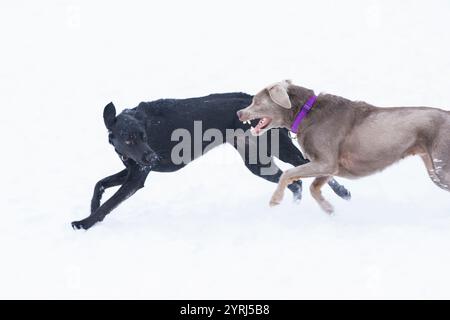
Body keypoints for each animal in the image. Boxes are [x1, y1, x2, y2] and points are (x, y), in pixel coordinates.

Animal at [72, 92, 350, 230]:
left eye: (143, 136)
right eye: (128, 140)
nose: (152, 157)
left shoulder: (137, 176)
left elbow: (110, 203)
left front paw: (85, 223)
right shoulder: (132, 168)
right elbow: (99, 184)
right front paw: (92, 207)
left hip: (279, 149)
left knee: (311, 166)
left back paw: (342, 192)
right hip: (257, 163)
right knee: (295, 182)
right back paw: (292, 207)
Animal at [237, 80, 448, 212]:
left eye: (256, 101)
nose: (239, 112)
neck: (305, 113)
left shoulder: (325, 162)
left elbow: (288, 174)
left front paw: (275, 200)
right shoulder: (330, 166)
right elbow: (314, 187)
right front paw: (330, 210)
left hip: (441, 167)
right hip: (433, 168)